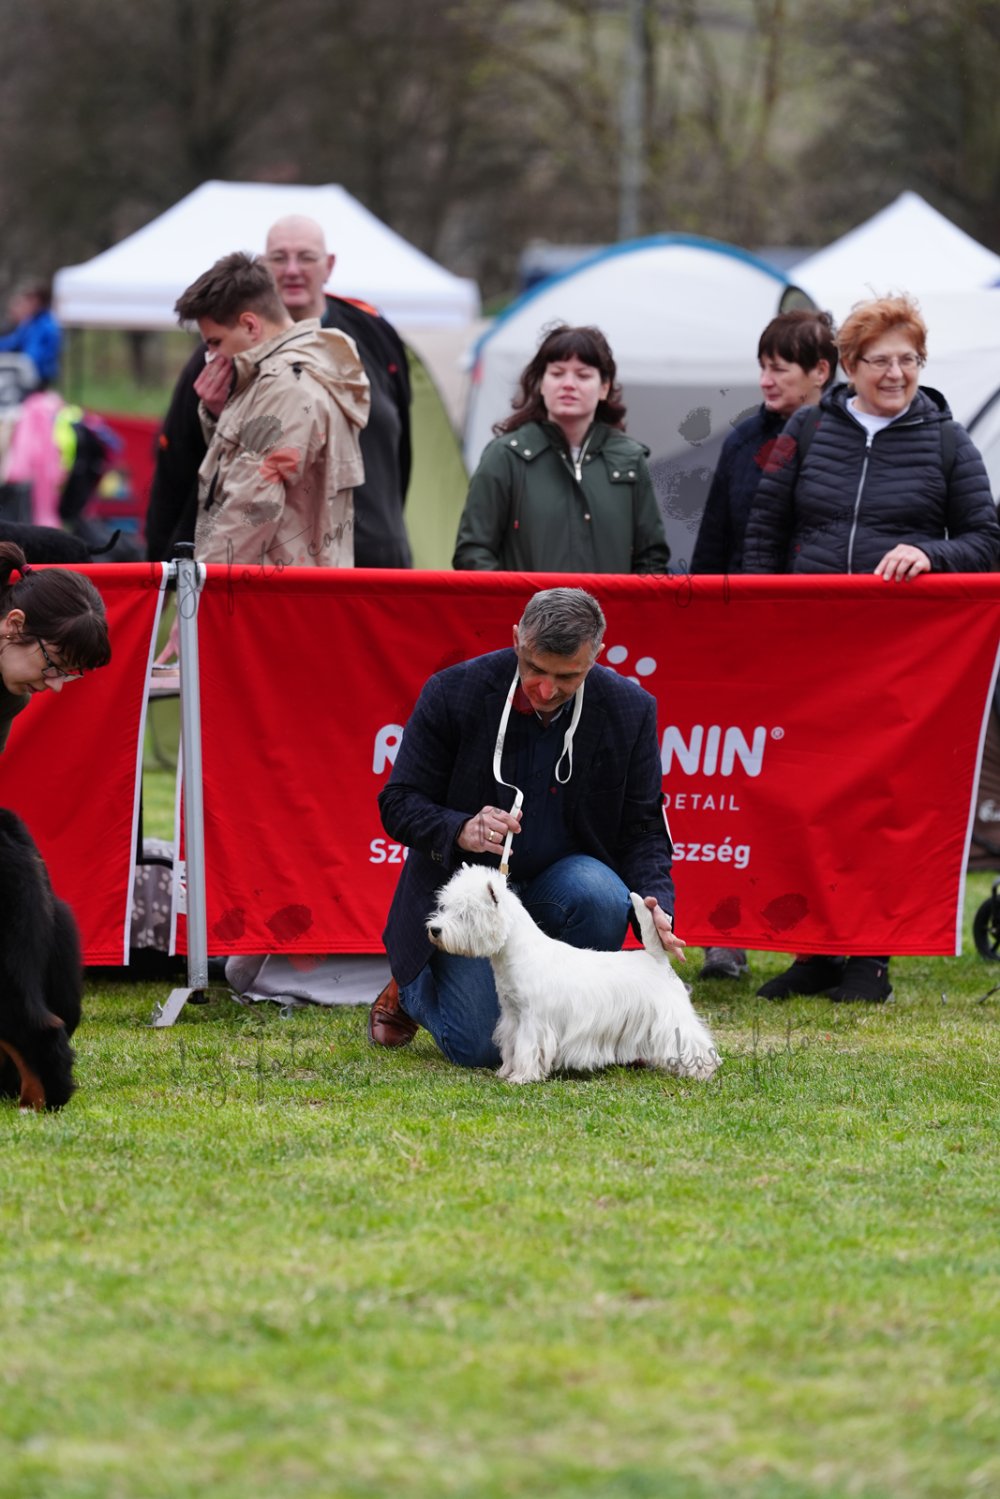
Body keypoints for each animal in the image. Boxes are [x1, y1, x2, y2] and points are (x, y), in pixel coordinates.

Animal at [427, 863, 720, 1084]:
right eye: (445, 907)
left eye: (466, 914)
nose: (434, 930)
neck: (515, 953)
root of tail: (656, 958)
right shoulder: (512, 1015)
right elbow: (511, 1046)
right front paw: (506, 1071)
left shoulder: (533, 1019)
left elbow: (526, 1048)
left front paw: (521, 1077)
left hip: (671, 1014)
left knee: (692, 1040)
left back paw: (702, 1070)